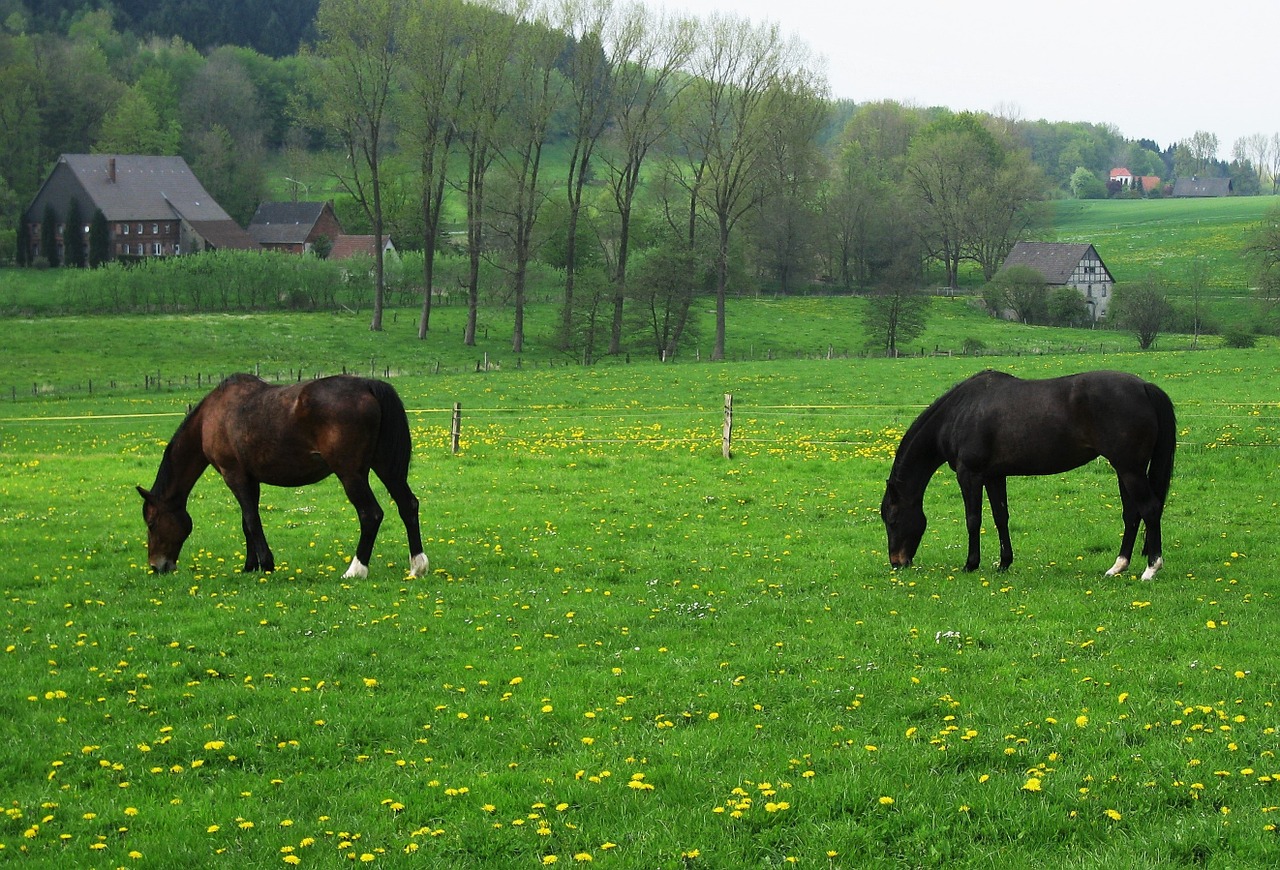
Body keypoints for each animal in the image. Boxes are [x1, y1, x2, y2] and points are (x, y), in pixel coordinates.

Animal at [137, 371, 430, 580]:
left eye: (151, 522)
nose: (157, 566)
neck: (212, 416)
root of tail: (368, 385)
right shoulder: (250, 479)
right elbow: (247, 522)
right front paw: (250, 565)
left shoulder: (234, 475)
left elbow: (251, 520)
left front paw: (266, 564)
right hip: (386, 468)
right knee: (408, 505)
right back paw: (417, 565)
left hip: (351, 474)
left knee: (371, 514)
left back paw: (355, 570)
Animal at [885, 365, 1172, 578]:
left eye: (893, 518)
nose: (897, 562)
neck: (962, 412)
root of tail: (1144, 387)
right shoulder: (994, 476)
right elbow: (1001, 517)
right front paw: (1004, 563)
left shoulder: (970, 475)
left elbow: (973, 519)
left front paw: (971, 564)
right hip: (1124, 469)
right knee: (1132, 514)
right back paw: (1118, 566)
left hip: (1130, 469)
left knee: (1149, 509)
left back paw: (1151, 568)